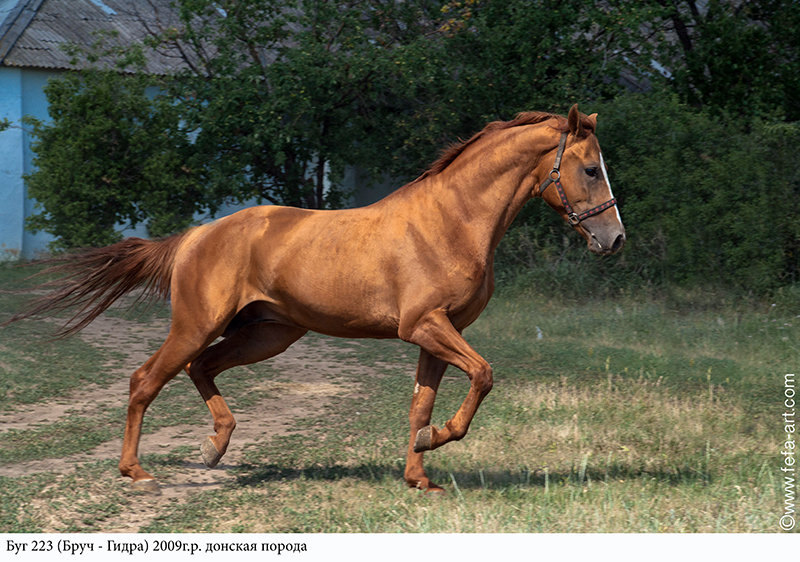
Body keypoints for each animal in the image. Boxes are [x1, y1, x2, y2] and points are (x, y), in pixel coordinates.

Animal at [4, 105, 624, 490]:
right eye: (590, 169)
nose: (614, 239)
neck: (451, 221)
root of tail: (195, 236)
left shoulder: (437, 334)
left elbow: (422, 404)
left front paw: (420, 474)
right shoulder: (426, 326)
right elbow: (484, 375)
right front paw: (436, 443)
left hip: (267, 333)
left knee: (201, 369)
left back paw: (214, 447)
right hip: (199, 324)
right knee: (146, 380)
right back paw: (138, 473)